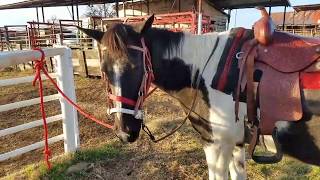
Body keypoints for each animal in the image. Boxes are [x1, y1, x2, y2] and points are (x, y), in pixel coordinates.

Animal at [78, 13, 320, 179]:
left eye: (137, 67)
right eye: (104, 71)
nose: (124, 132)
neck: (203, 69)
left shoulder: (216, 145)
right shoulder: (236, 144)